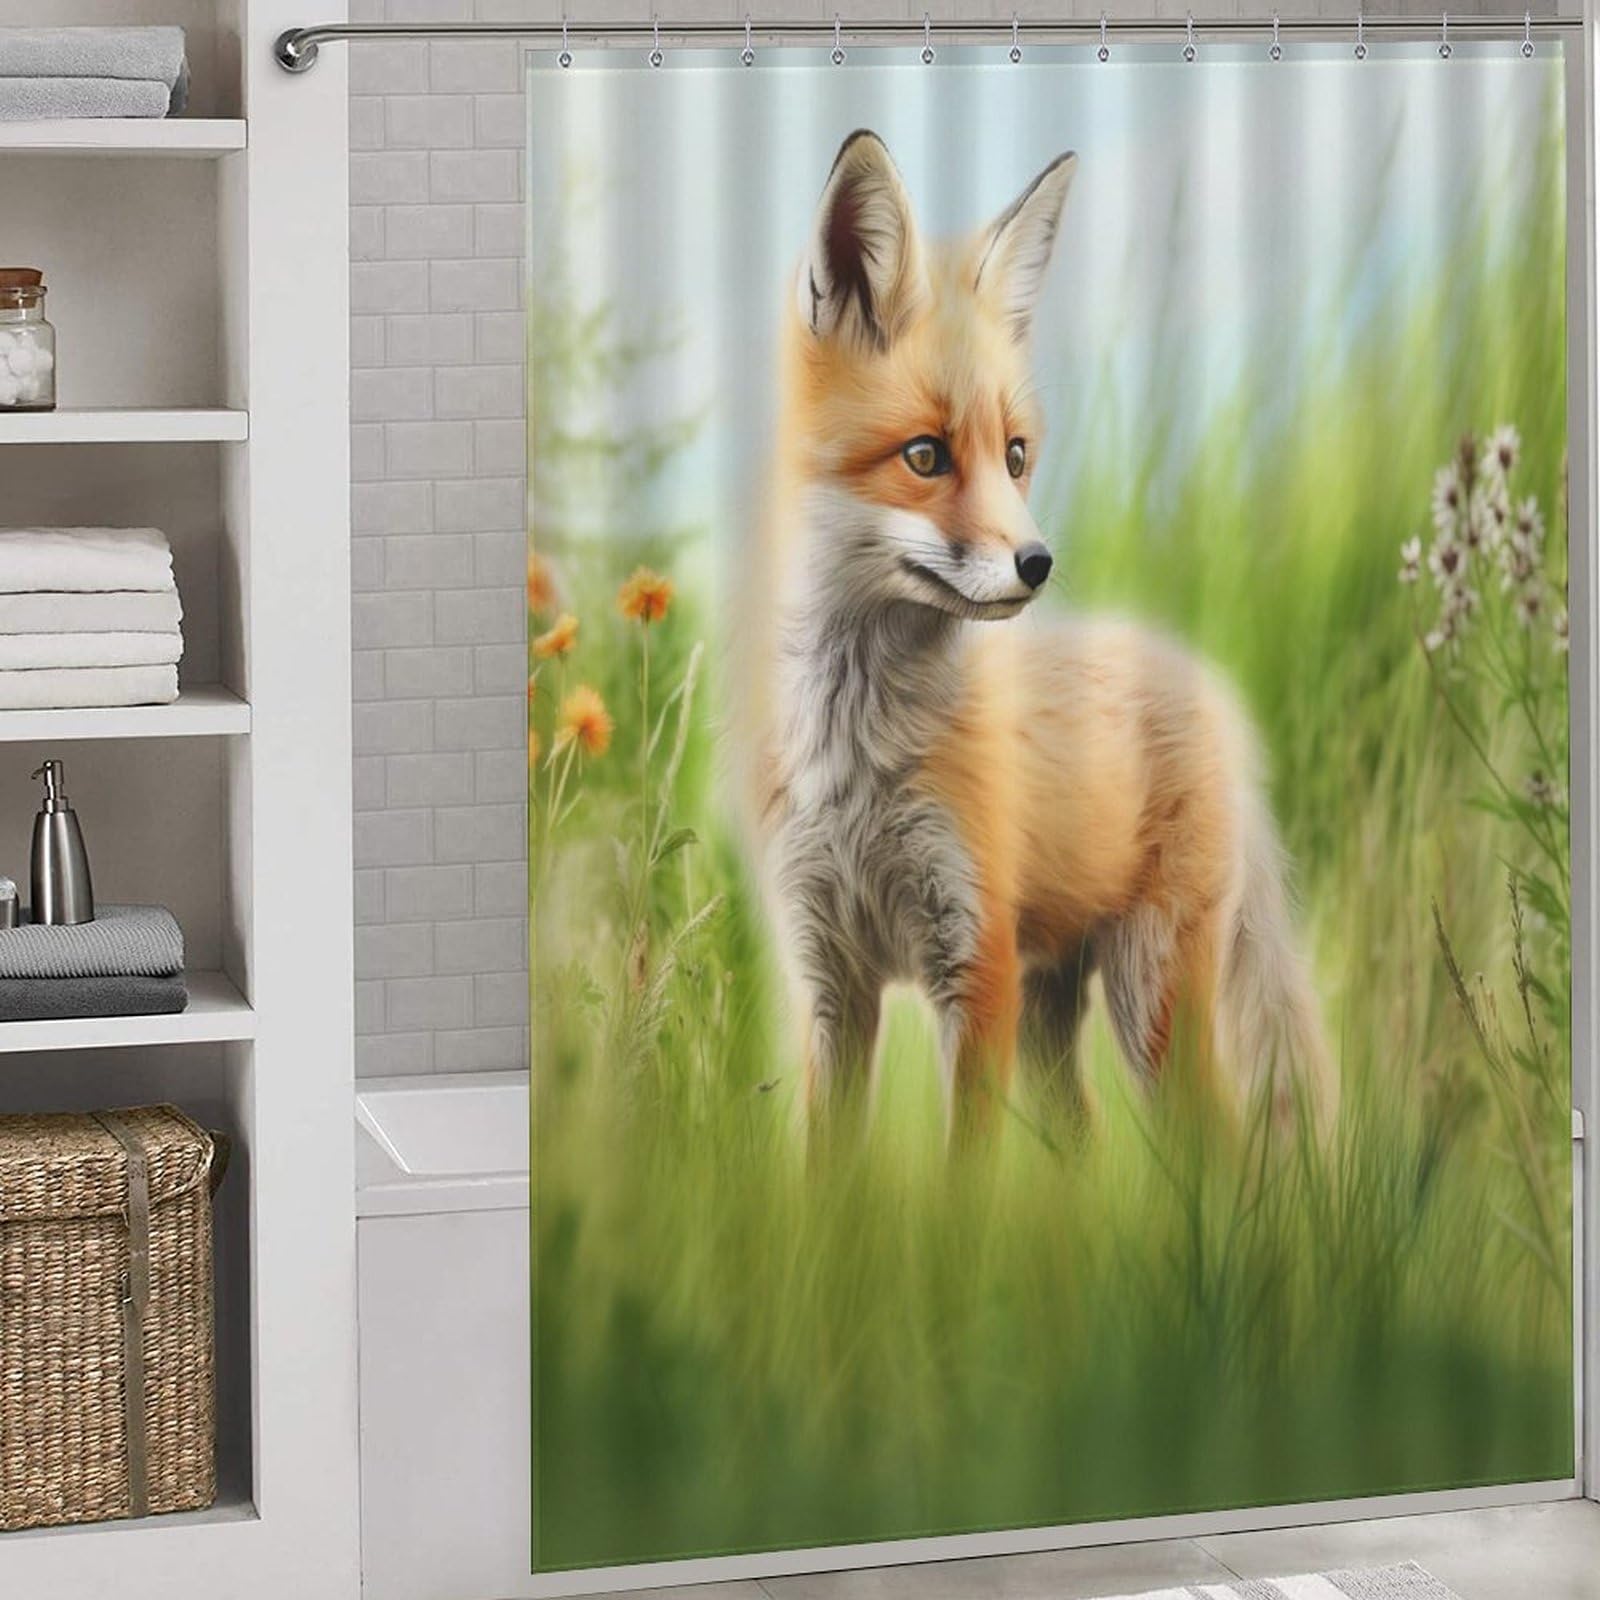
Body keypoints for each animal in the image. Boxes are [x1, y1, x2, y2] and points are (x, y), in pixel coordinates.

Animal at [730, 130, 1335, 1143]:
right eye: (925, 456)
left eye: (1015, 456)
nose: (1039, 562)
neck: (859, 763)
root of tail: (1205, 680)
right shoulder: (831, 982)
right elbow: (828, 1167)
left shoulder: (976, 967)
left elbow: (964, 1172)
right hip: (1056, 1012)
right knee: (1082, 1139)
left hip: (1147, 999)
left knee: (1215, 1145)